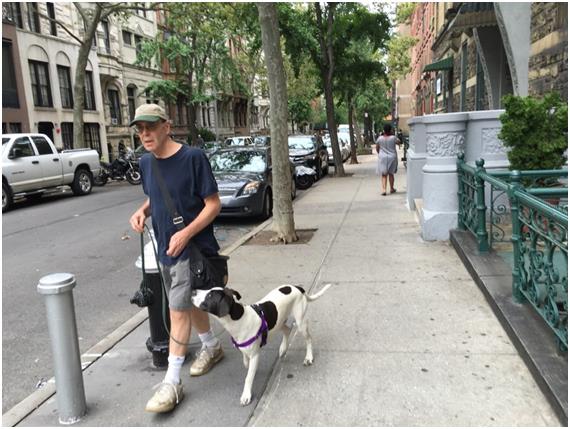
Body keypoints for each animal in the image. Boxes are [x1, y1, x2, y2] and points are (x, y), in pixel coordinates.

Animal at [192, 284, 330, 404]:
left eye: (210, 295)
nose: (193, 291)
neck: (239, 320)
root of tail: (297, 287)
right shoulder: (245, 350)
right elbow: (246, 362)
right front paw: (249, 367)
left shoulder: (255, 355)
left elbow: (248, 377)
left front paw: (246, 395)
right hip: (278, 322)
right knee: (287, 330)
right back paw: (283, 348)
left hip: (300, 323)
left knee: (309, 339)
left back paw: (309, 357)